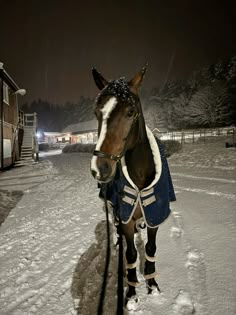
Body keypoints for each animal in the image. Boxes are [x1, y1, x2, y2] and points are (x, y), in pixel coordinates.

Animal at [90, 65, 175, 310]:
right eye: (97, 113)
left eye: (130, 112)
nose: (100, 168)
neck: (139, 177)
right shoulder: (126, 216)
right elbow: (130, 255)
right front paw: (131, 293)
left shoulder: (155, 214)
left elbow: (150, 249)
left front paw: (152, 284)